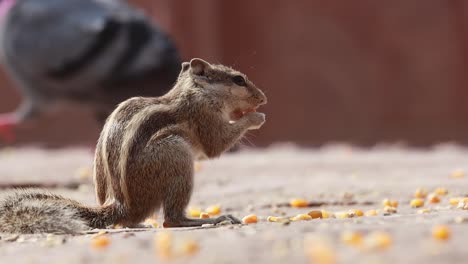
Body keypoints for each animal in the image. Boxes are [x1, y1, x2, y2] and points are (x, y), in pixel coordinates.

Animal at [0, 58, 266, 233]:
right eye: (238, 80)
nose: (263, 98)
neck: (193, 92)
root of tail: (121, 206)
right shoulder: (203, 117)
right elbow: (216, 144)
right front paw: (255, 118)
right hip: (176, 155)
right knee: (171, 220)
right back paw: (208, 220)